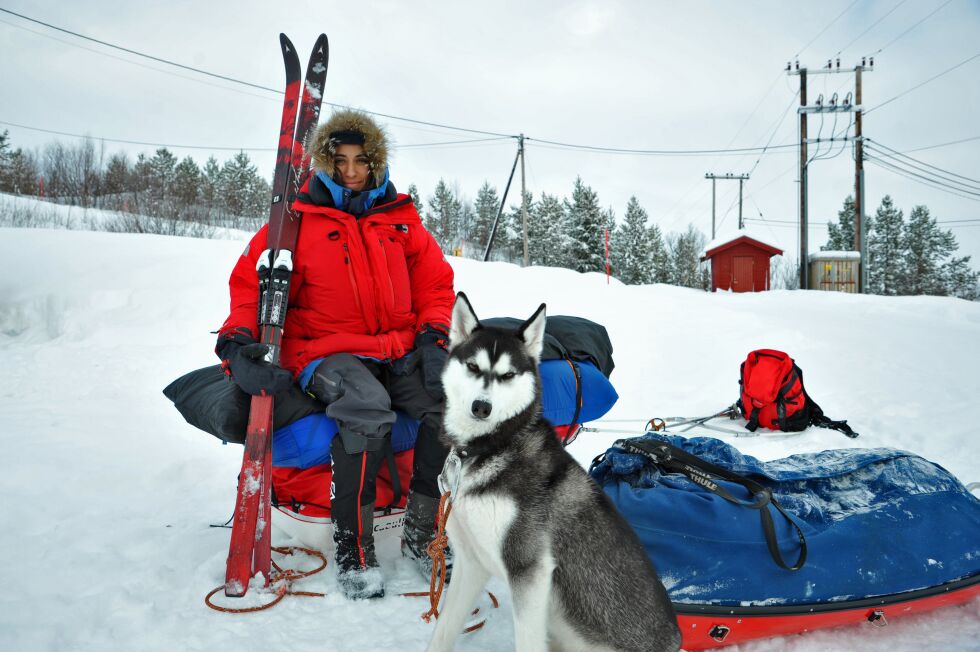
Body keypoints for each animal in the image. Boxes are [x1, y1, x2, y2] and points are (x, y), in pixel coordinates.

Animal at [428, 294, 680, 652]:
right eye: (473, 367)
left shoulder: (529, 570)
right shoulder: (471, 562)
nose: (482, 407)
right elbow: (442, 632)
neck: (492, 446)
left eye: (508, 375)